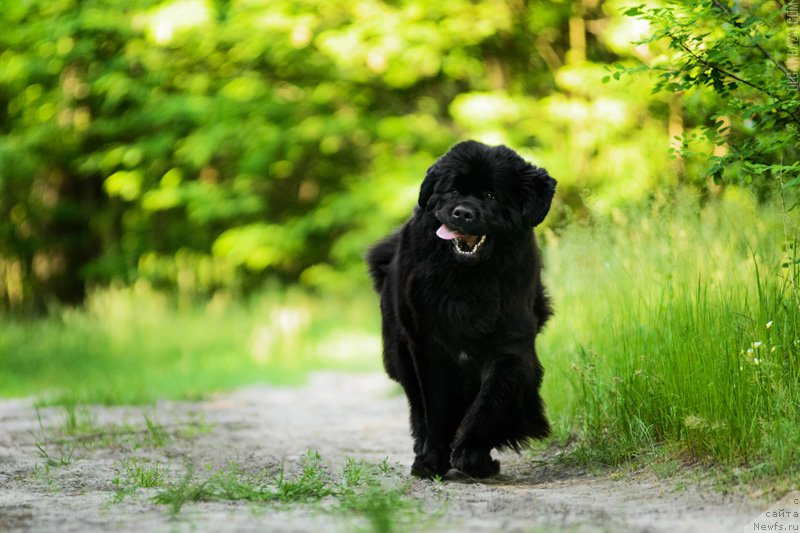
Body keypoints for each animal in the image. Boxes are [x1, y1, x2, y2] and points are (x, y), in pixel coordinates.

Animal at [368, 140, 556, 478]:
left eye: (490, 196)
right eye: (453, 190)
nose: (463, 212)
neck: (466, 280)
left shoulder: (510, 346)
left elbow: (491, 401)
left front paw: (472, 454)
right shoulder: (428, 347)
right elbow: (435, 408)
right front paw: (432, 459)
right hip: (399, 352)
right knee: (416, 405)